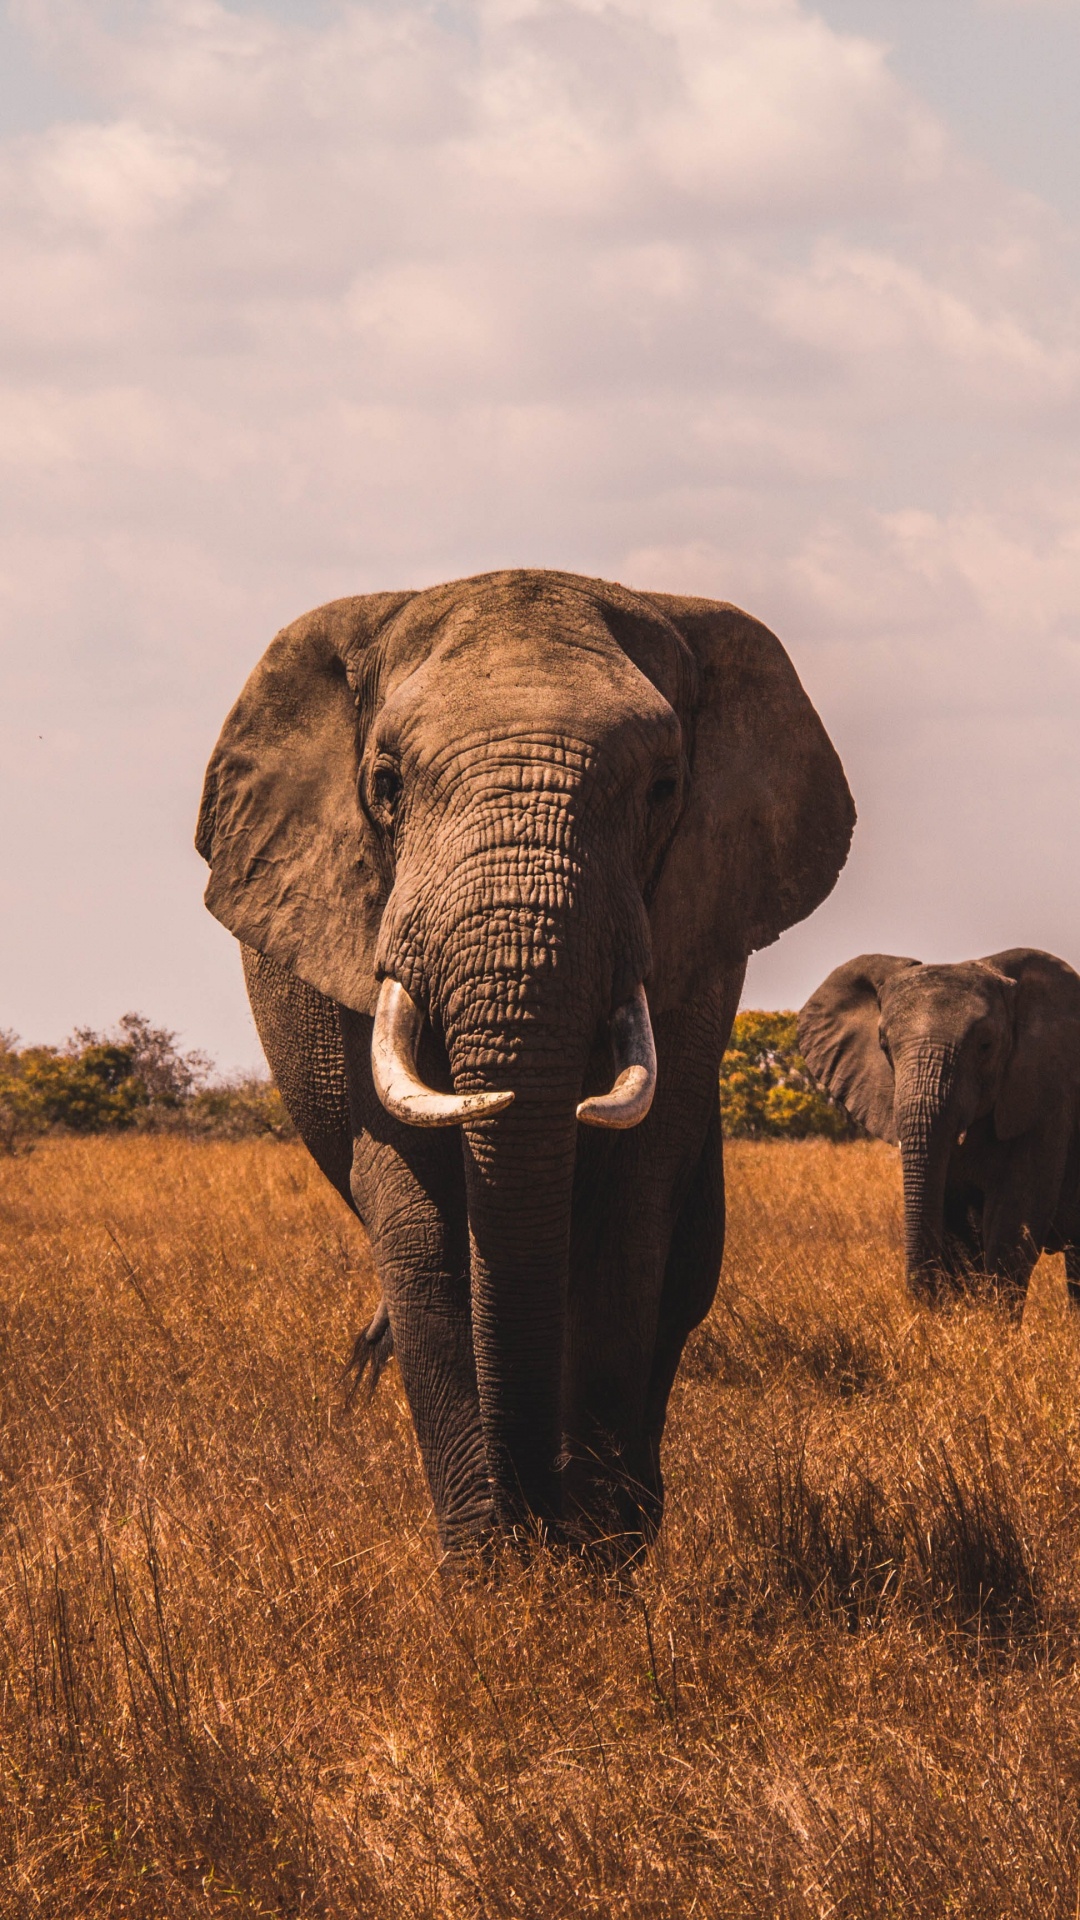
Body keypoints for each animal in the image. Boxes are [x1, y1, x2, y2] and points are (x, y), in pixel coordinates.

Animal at [197, 568, 854, 1554]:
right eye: (386, 785)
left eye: (664, 787)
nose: (539, 1514)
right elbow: (423, 1227)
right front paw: (492, 1567)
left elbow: (629, 1217)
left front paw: (595, 1557)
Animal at [798, 950, 1080, 1310]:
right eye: (884, 1045)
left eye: (985, 1045)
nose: (923, 1300)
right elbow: (958, 1227)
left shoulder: (1046, 1104)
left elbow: (1014, 1222)